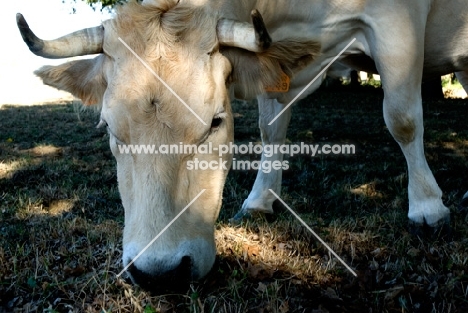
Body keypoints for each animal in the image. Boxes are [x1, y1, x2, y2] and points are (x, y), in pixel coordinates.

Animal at [16, 0, 468, 288]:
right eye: (109, 127)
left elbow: (402, 118)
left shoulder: (398, 23)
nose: (160, 273)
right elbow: (272, 128)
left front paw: (427, 206)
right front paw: (261, 199)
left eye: (216, 121)